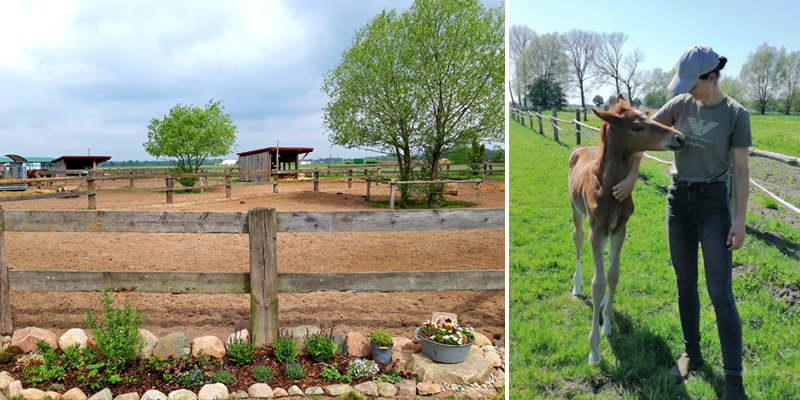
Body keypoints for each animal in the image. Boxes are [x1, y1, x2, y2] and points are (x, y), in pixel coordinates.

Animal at [568, 97, 688, 366]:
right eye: (637, 127)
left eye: (648, 116)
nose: (679, 138)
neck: (608, 184)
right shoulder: (596, 230)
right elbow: (598, 283)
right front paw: (593, 350)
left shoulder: (619, 229)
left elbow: (612, 275)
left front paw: (607, 323)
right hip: (576, 211)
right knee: (577, 239)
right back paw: (577, 286)